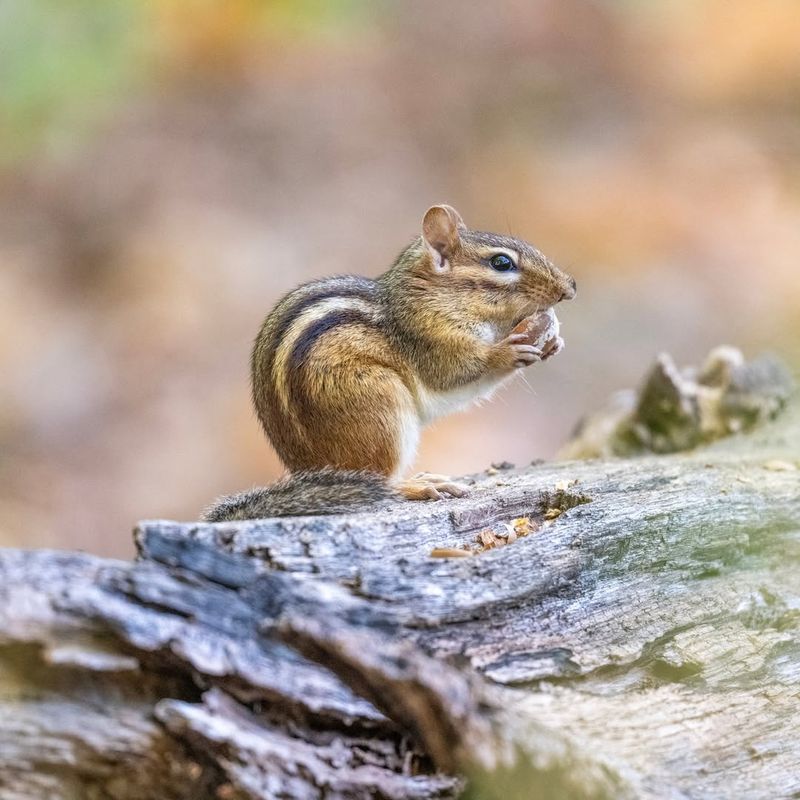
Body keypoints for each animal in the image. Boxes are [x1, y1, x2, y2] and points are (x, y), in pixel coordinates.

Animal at [203, 204, 576, 522]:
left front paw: (552, 343)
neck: (433, 296)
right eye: (501, 263)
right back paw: (419, 485)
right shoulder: (431, 338)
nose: (569, 287)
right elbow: (456, 372)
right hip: (378, 407)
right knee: (383, 481)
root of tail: (311, 473)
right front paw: (506, 352)